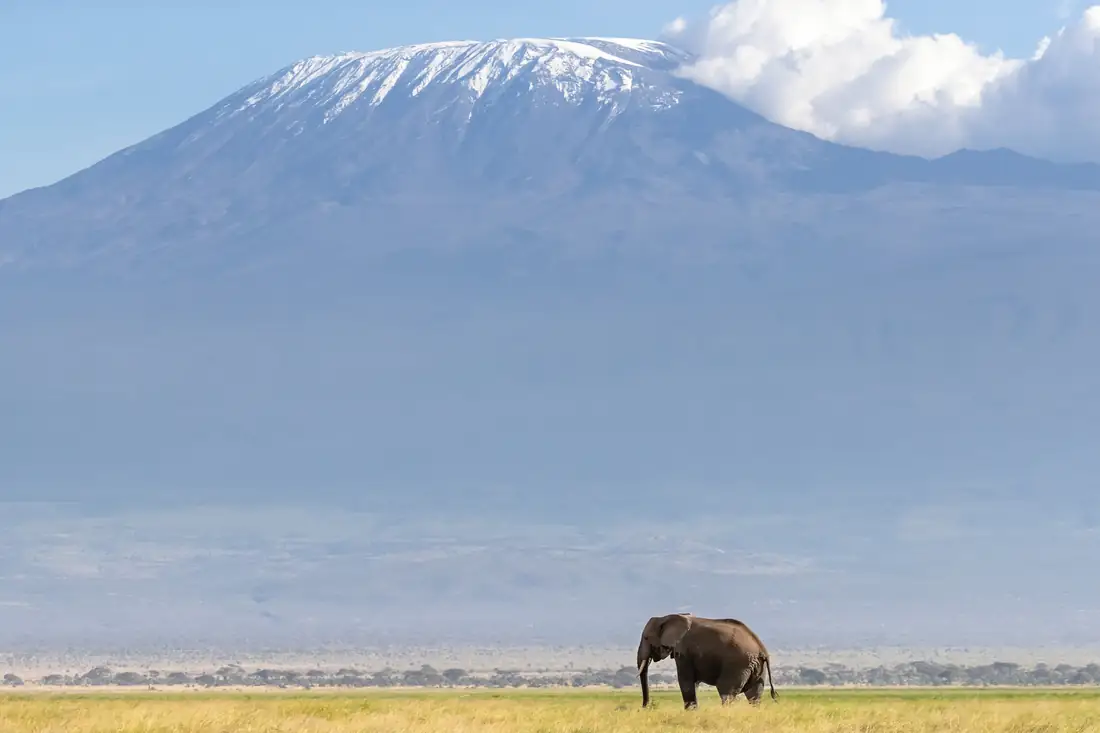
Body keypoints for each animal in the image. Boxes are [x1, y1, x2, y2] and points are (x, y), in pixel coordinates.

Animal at [636, 613, 778, 709]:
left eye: (646, 638)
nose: (645, 707)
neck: (666, 617)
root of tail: (762, 649)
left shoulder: (684, 650)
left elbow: (685, 680)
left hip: (738, 664)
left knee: (726, 692)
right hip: (756, 666)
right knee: (754, 695)